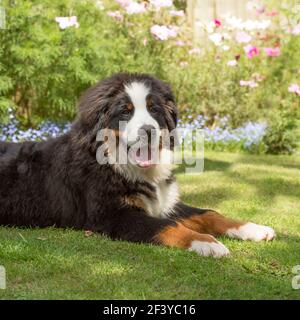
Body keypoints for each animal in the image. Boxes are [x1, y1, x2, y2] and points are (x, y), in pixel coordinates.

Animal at [0, 73, 274, 258]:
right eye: (125, 111)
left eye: (154, 109)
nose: (148, 131)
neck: (116, 164)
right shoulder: (112, 215)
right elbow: (167, 226)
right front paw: (208, 243)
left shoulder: (165, 202)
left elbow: (209, 213)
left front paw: (252, 228)